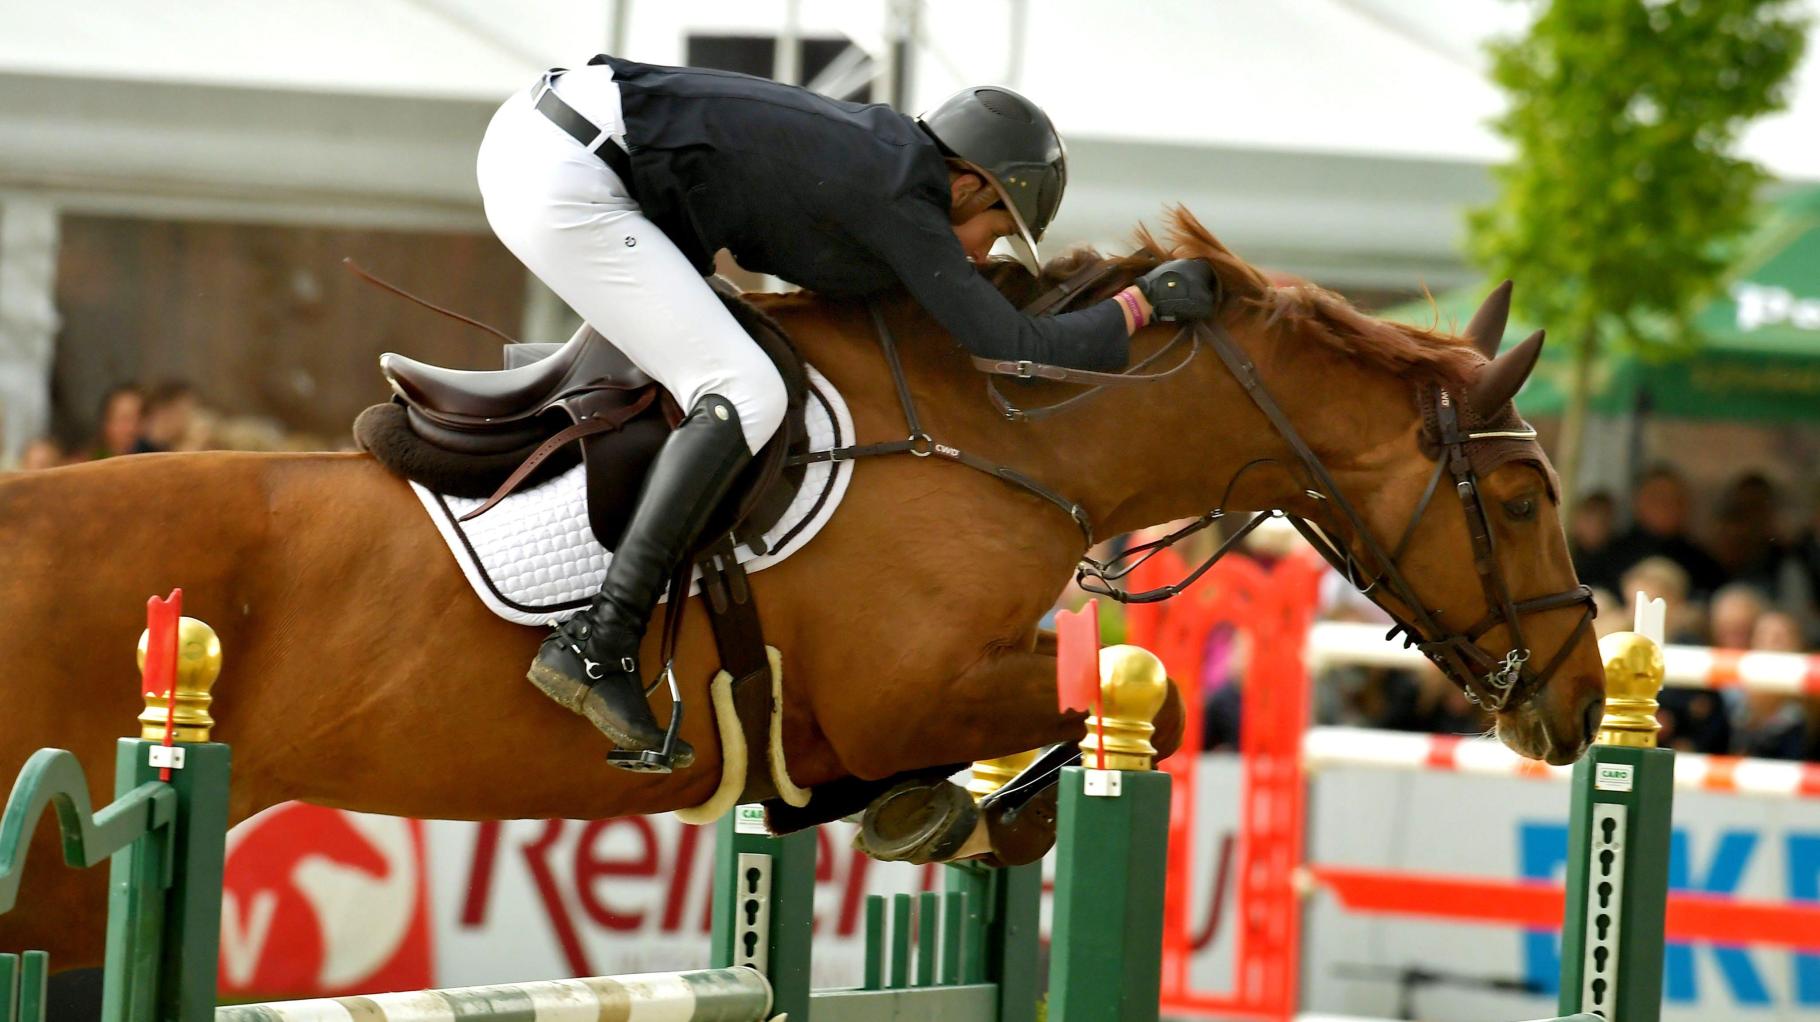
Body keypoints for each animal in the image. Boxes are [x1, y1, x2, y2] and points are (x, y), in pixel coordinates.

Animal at [0, 209, 1603, 968]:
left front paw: (930, 816)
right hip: (58, 870)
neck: (1007, 430)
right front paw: (948, 812)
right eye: (1527, 499)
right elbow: (1100, 700)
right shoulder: (910, 686)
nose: (1580, 705)